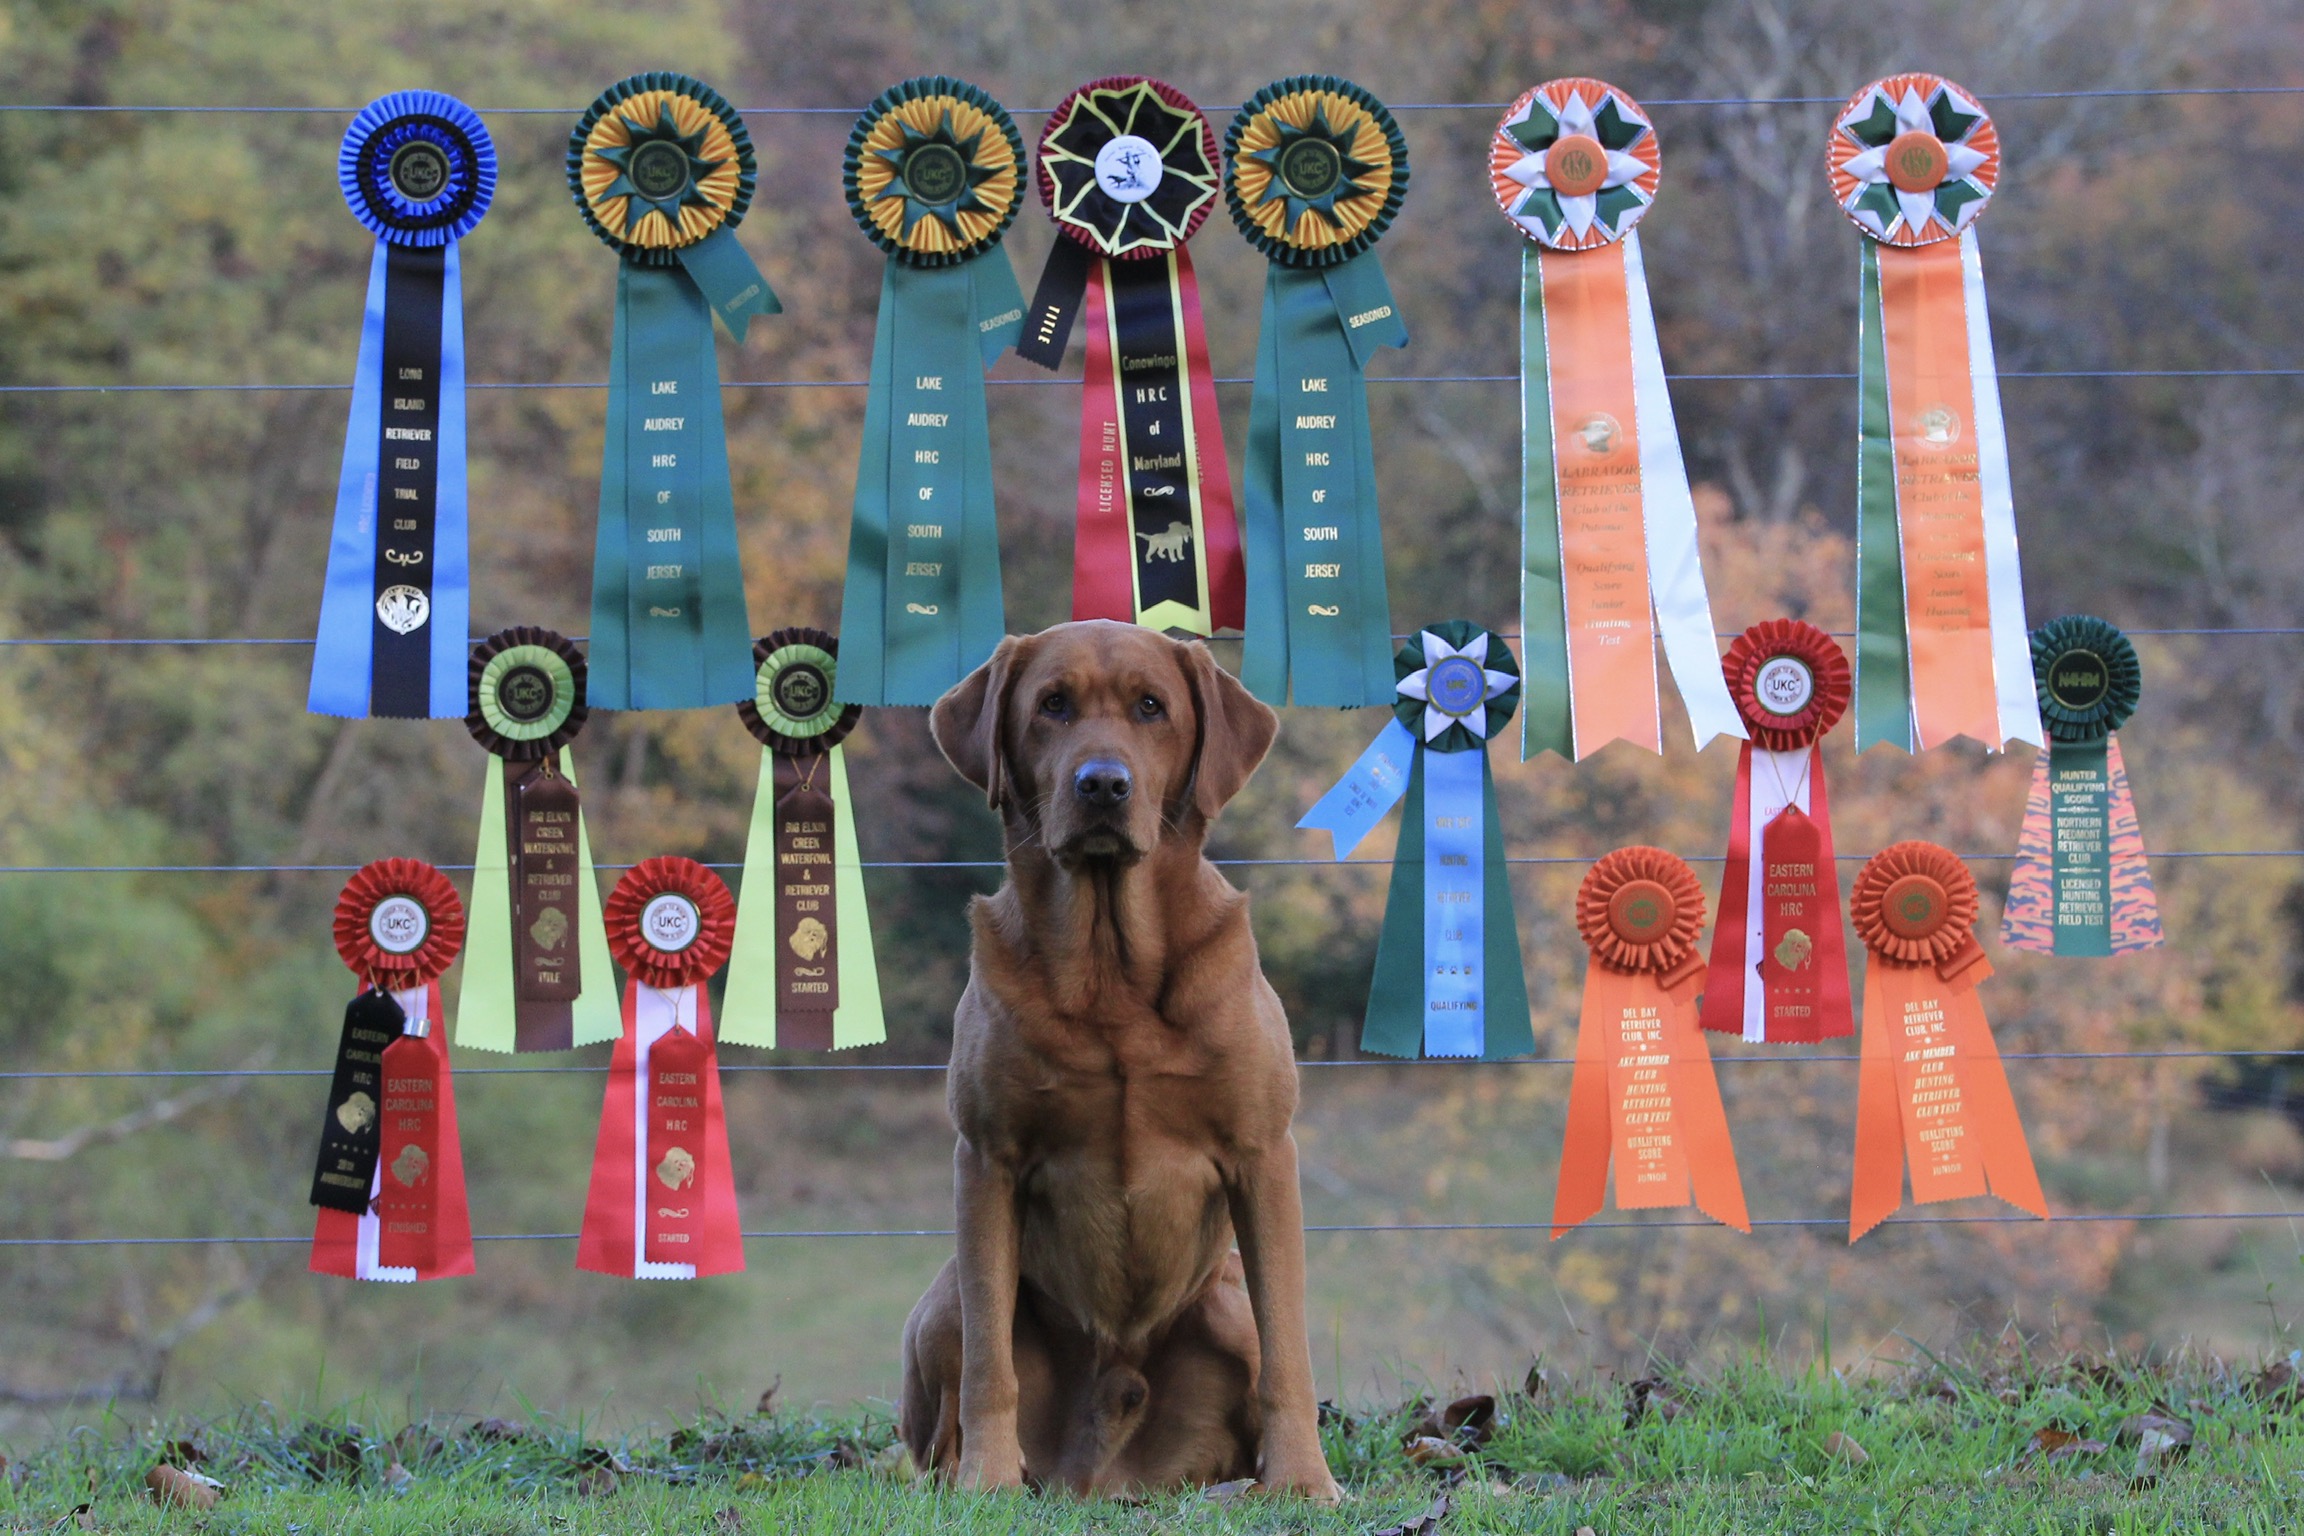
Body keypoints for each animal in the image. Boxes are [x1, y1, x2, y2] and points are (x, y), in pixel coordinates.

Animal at [893, 617, 1345, 1492]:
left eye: (1151, 707)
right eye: (1052, 706)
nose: (1103, 784)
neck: (1111, 967)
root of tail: (1103, 1477)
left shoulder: (1264, 1154)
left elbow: (1291, 1350)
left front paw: (1305, 1481)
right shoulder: (986, 1157)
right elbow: (990, 1361)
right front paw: (988, 1482)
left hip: (1223, 1298)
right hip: (942, 1302)